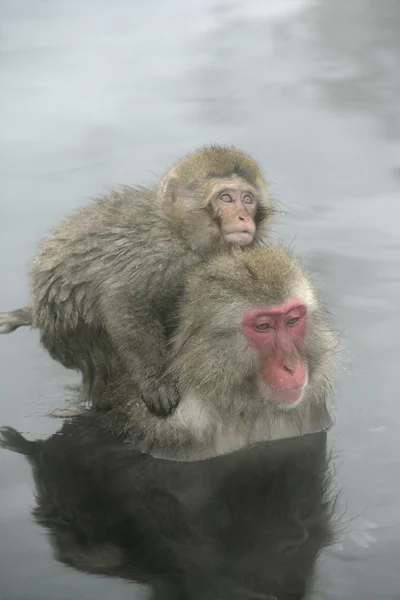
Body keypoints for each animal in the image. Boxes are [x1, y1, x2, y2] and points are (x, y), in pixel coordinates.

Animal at [0, 146, 272, 418]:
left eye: (247, 199)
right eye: (226, 198)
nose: (243, 218)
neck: (182, 234)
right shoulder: (158, 255)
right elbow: (124, 301)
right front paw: (156, 382)